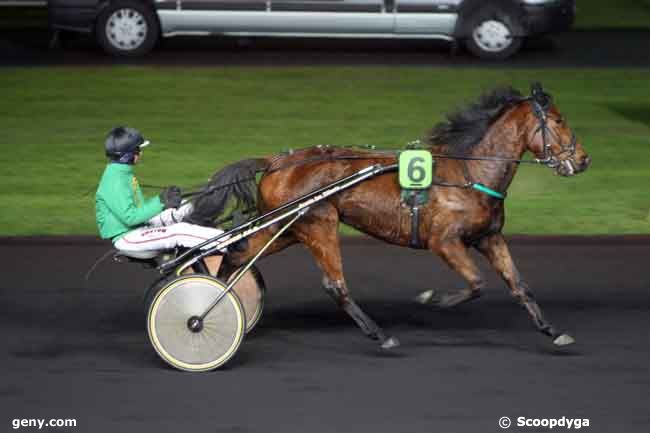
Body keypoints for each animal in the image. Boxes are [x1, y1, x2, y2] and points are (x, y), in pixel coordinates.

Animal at [189, 82, 588, 350]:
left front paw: (553, 331)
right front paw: (432, 299)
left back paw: (219, 301)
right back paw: (380, 334)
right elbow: (476, 283)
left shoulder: (488, 237)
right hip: (317, 223)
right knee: (334, 284)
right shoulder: (444, 241)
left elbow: (519, 285)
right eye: (558, 120)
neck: (469, 172)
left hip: (285, 228)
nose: (584, 160)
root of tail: (276, 160)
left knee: (237, 253)